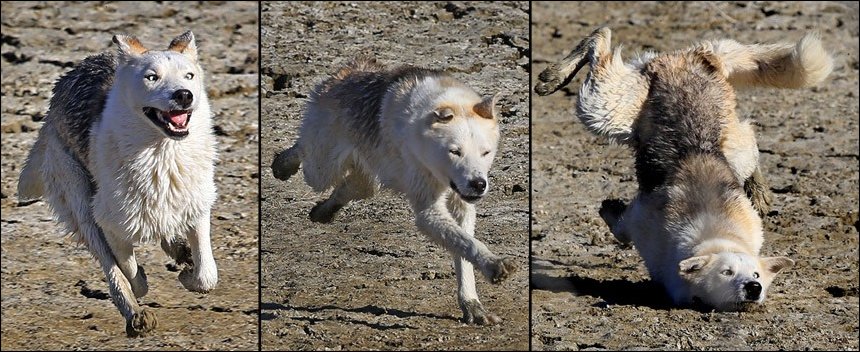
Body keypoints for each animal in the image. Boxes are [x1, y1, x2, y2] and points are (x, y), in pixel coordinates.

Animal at [17, 31, 218, 336]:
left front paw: (187, 272)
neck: (160, 155)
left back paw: (178, 251)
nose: (184, 95)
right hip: (81, 203)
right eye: (151, 77)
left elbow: (207, 275)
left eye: (189, 76)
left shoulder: (197, 205)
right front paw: (145, 288)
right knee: (112, 271)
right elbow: (129, 271)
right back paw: (136, 316)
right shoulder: (110, 224)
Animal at [274, 57, 516, 324]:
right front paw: (494, 265)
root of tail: (349, 70)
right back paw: (281, 166)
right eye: (455, 152)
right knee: (303, 150)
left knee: (348, 188)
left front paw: (472, 304)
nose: (478, 184)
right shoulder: (428, 212)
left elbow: (465, 251)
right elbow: (466, 243)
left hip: (367, 182)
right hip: (322, 170)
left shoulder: (463, 205)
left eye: (485, 152)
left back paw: (323, 212)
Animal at [536, 27, 828, 310]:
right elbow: (620, 228)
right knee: (600, 40)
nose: (753, 288)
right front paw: (609, 208)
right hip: (604, 108)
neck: (716, 232)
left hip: (729, 145)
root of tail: (699, 56)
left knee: (749, 138)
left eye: (756, 274)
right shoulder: (639, 220)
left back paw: (759, 190)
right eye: (727, 272)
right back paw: (553, 77)